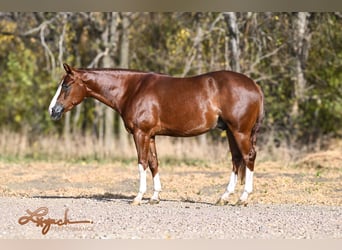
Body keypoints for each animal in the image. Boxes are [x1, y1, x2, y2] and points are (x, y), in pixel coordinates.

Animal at [48, 63, 264, 205]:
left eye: (66, 85)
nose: (52, 110)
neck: (131, 89)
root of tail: (254, 85)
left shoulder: (140, 133)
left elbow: (142, 162)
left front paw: (138, 197)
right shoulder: (150, 135)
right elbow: (153, 163)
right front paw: (154, 197)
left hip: (240, 131)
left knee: (248, 157)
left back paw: (243, 198)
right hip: (231, 132)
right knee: (236, 160)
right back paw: (224, 197)